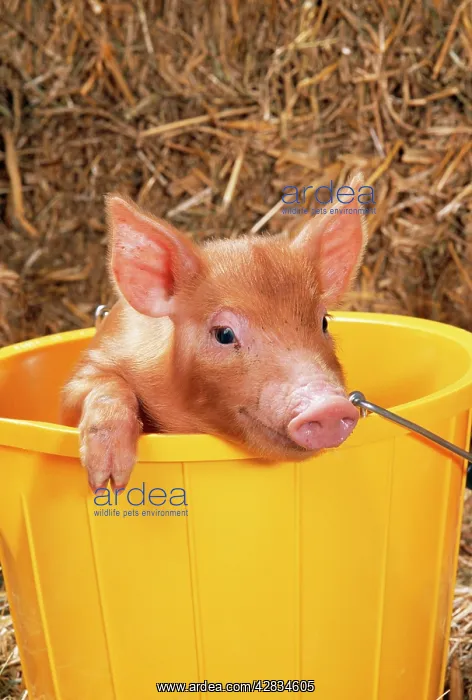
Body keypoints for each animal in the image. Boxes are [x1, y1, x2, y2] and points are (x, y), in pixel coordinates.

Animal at [60, 176, 367, 492]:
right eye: (224, 334)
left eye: (324, 322)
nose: (329, 407)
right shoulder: (93, 364)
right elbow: (99, 387)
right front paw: (108, 483)